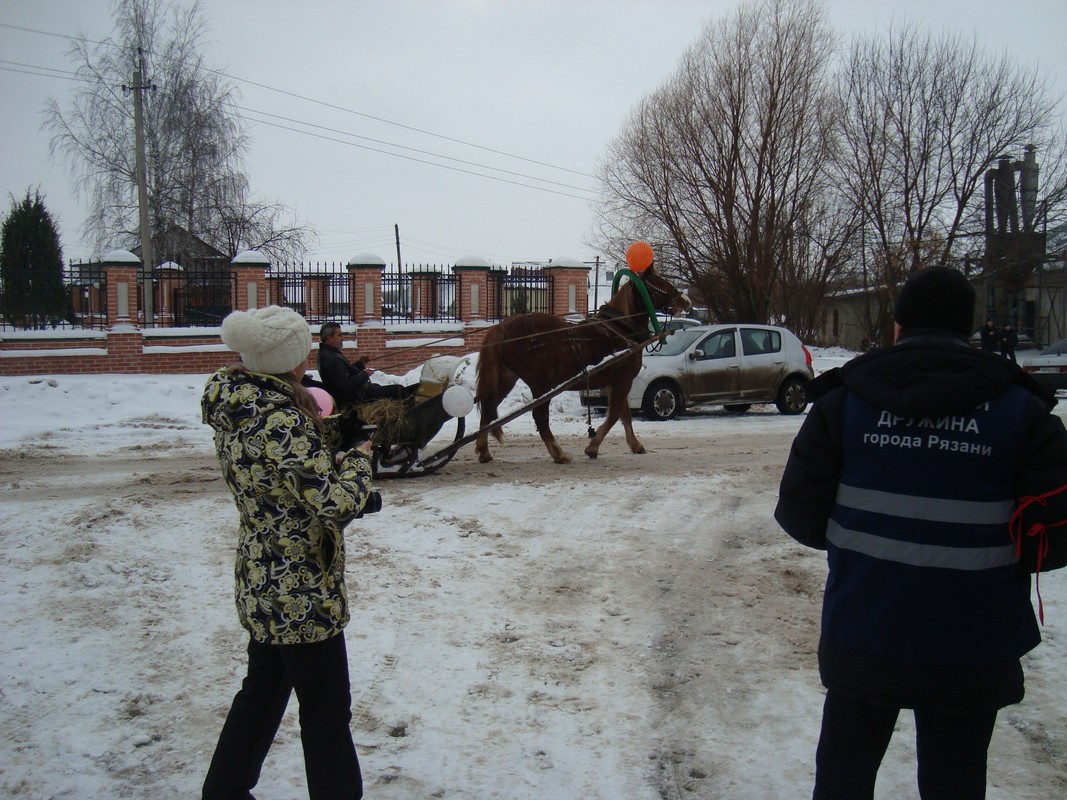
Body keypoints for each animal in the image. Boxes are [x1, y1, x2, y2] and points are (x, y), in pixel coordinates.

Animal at [475, 264, 691, 462]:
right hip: (541, 383)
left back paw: (484, 451)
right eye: (660, 283)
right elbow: (614, 414)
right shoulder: (623, 380)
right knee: (540, 416)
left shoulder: (615, 383)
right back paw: (558, 453)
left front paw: (635, 445)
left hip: (506, 379)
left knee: (487, 409)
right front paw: (592, 447)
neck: (620, 328)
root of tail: (501, 326)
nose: (686, 301)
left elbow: (624, 414)